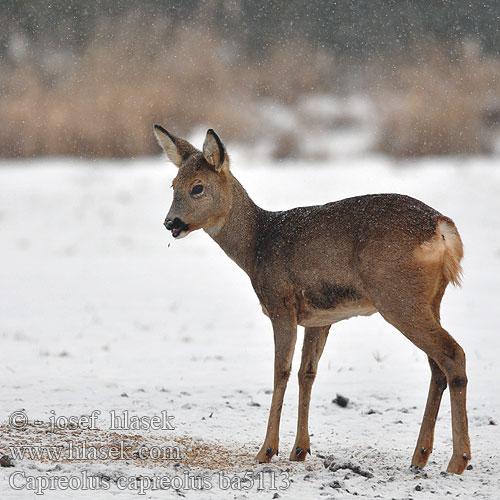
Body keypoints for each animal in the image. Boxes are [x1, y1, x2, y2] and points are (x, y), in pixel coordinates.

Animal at [154, 126, 470, 476]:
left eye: (197, 187)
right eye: (173, 185)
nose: (171, 223)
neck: (256, 246)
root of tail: (442, 228)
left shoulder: (280, 303)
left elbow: (281, 370)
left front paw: (266, 450)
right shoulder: (319, 317)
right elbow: (307, 373)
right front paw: (299, 449)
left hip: (398, 296)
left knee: (452, 354)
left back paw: (457, 460)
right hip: (430, 299)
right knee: (437, 367)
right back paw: (420, 455)